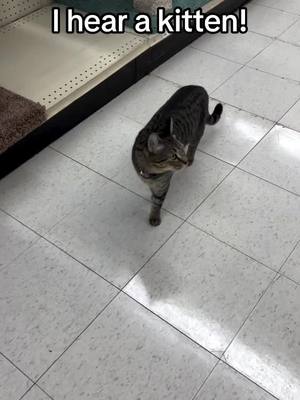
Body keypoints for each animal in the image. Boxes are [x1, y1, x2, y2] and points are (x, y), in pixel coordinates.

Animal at [132, 85, 223, 227]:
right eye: (173, 156)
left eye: (181, 150)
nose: (184, 161)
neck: (150, 173)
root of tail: (200, 88)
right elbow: (152, 195)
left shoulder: (162, 186)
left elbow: (157, 202)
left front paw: (154, 217)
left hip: (197, 131)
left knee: (193, 145)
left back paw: (191, 158)